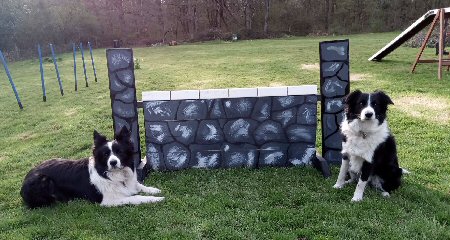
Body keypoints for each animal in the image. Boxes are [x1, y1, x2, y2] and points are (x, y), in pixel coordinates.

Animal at [21, 127, 164, 208]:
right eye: (106, 154)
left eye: (119, 152)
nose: (113, 162)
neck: (112, 175)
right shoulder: (109, 201)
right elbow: (136, 197)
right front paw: (156, 199)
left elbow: (138, 185)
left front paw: (154, 190)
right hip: (44, 180)